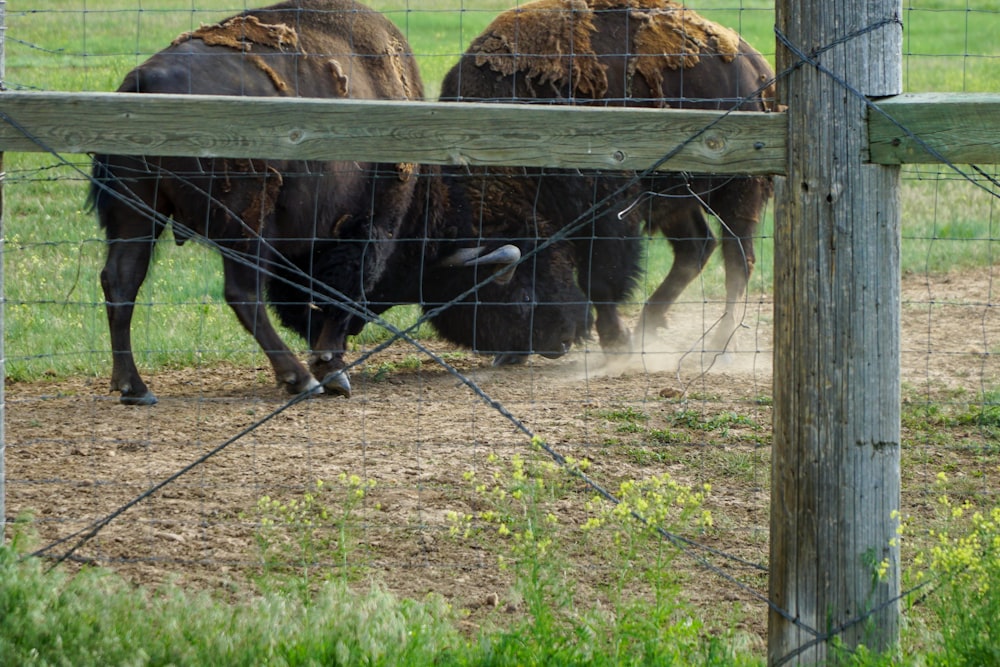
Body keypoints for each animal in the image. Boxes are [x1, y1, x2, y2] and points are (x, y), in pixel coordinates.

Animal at [442, 0, 776, 354]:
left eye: (520, 296)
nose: (556, 343)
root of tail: (755, 65)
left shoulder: (609, 213)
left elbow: (601, 280)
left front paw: (616, 344)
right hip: (675, 199)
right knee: (697, 248)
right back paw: (648, 327)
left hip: (739, 191)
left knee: (738, 261)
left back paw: (718, 344)